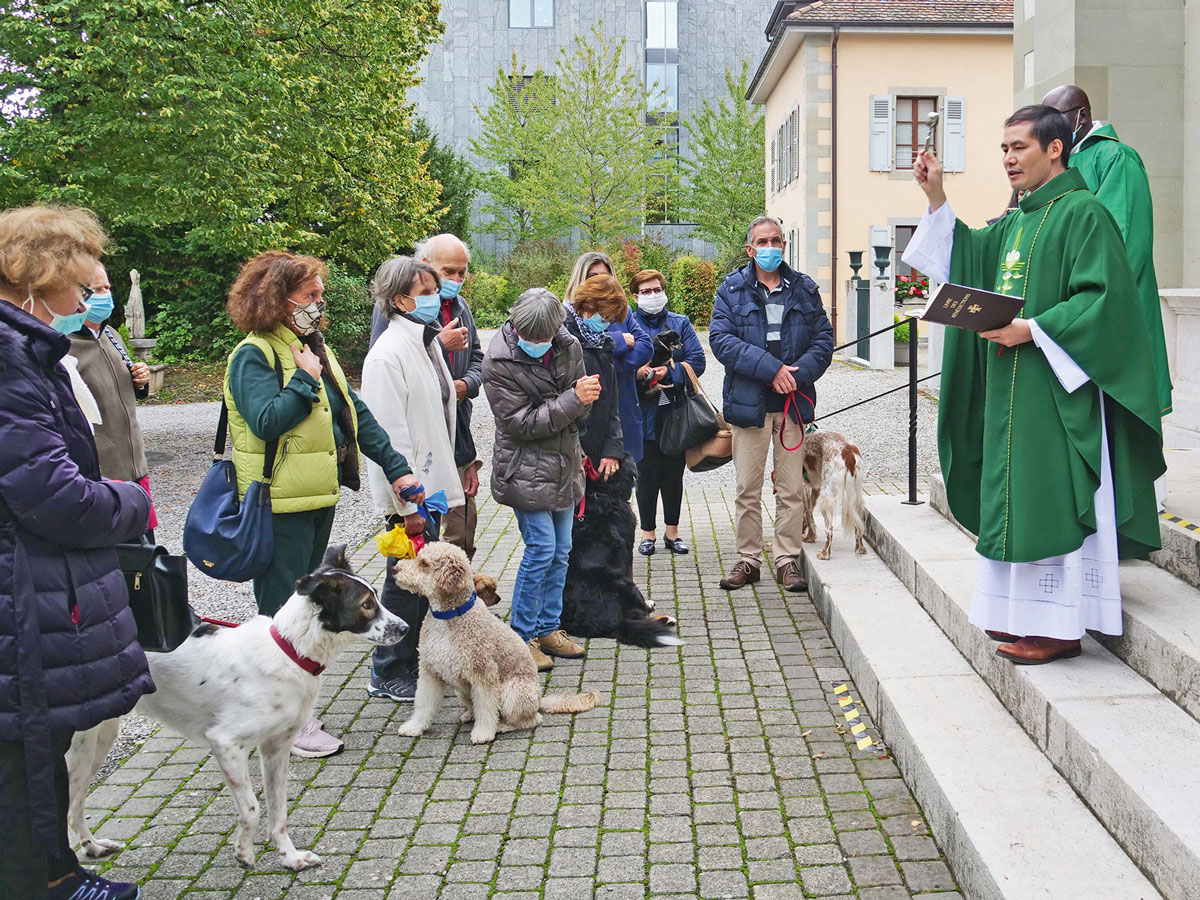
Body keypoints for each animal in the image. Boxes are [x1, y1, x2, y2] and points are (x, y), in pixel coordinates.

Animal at [70, 542, 408, 873]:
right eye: (367, 604)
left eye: (374, 598)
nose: (405, 628)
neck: (289, 651)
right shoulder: (226, 742)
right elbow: (252, 808)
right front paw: (244, 852)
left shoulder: (276, 746)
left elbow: (278, 810)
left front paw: (290, 857)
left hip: (97, 743)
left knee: (75, 807)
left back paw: (94, 847)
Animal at [556, 458, 681, 648]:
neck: (599, 495)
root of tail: (613, 624)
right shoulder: (627, 551)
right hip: (625, 585)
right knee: (639, 616)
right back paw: (664, 617)